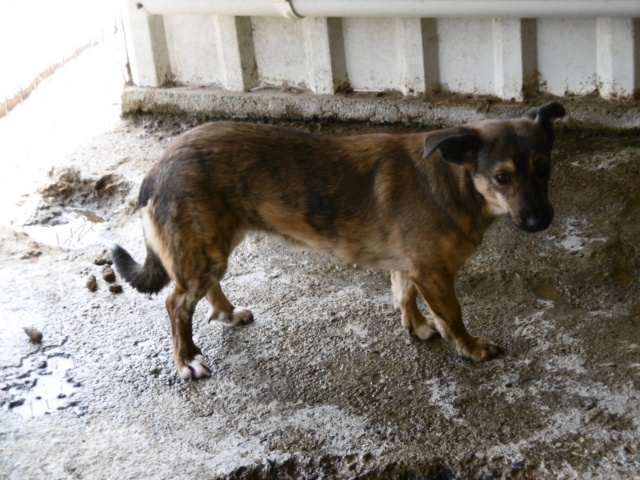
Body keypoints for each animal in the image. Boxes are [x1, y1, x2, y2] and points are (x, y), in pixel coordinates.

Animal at [110, 101, 564, 378]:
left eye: (544, 167)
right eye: (502, 177)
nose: (541, 220)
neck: (456, 182)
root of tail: (157, 167)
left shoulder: (409, 268)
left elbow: (404, 296)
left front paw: (417, 327)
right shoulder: (433, 274)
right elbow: (452, 316)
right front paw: (470, 348)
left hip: (214, 245)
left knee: (206, 288)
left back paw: (227, 312)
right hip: (202, 251)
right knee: (176, 304)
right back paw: (187, 360)